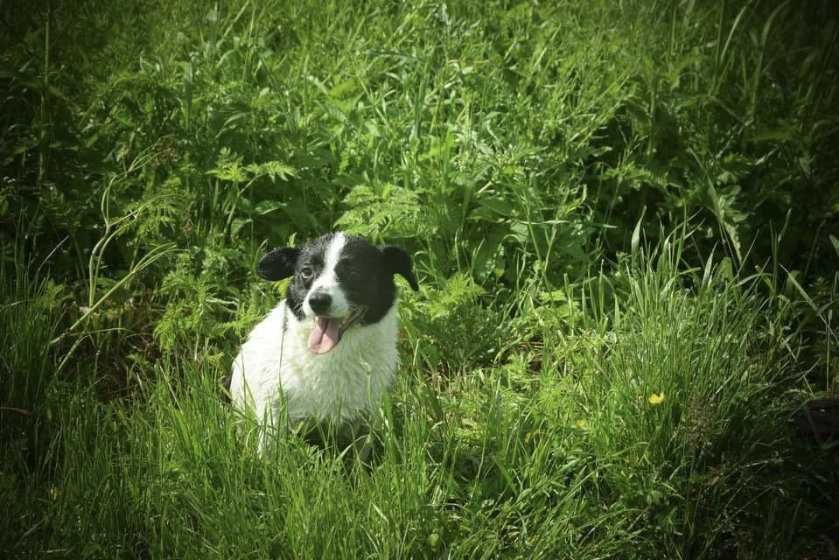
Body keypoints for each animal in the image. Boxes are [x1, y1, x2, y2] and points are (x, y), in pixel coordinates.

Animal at [230, 230, 420, 440]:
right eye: (306, 272)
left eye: (354, 272)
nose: (318, 300)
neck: (330, 355)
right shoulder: (273, 406)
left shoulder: (368, 416)